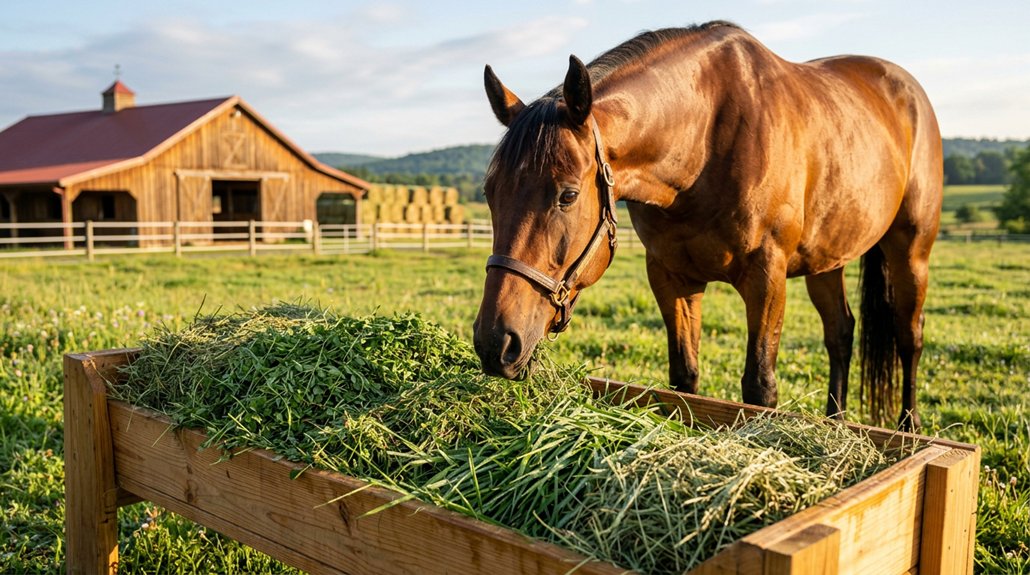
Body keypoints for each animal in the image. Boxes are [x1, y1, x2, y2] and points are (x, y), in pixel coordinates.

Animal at [472, 21, 942, 431]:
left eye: (567, 195)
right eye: (490, 192)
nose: (495, 343)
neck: (705, 139)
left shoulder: (766, 276)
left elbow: (759, 387)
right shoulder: (671, 276)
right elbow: (685, 377)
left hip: (911, 251)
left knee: (909, 336)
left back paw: (910, 426)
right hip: (827, 258)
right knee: (840, 333)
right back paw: (836, 420)